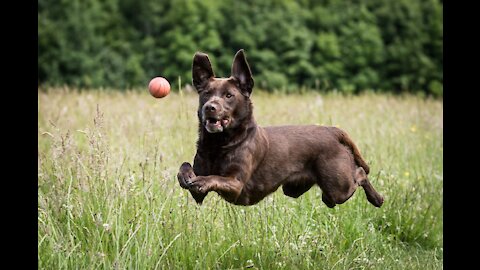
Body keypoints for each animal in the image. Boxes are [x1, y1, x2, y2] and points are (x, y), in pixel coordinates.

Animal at [176, 49, 382, 208]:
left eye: (229, 95)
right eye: (206, 93)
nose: (209, 107)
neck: (219, 143)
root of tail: (331, 130)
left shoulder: (236, 184)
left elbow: (213, 178)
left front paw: (200, 180)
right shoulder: (198, 194)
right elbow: (185, 166)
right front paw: (186, 176)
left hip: (338, 187)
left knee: (360, 174)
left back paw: (377, 199)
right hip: (303, 190)